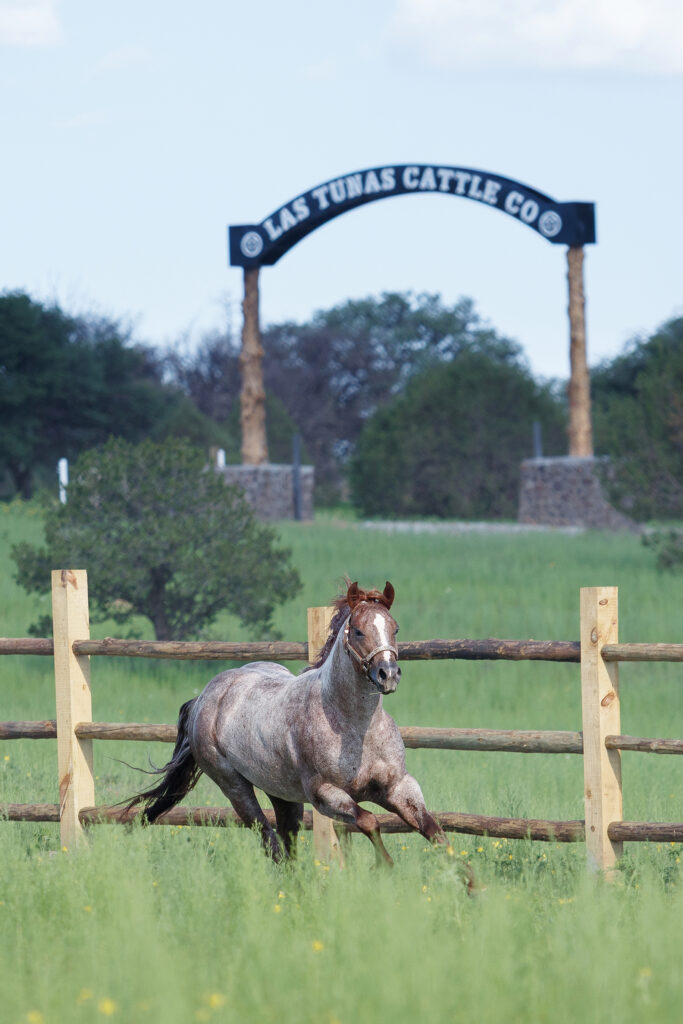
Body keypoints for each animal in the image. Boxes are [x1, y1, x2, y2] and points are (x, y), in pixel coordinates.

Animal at [125, 580, 447, 866]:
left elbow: (435, 832)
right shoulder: (326, 795)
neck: (356, 728)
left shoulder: (398, 787)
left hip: (282, 794)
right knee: (271, 842)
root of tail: (205, 696)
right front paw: (384, 867)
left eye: (395, 628)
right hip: (235, 787)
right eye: (357, 631)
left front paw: (459, 878)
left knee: (288, 846)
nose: (388, 674)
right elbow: (369, 822)